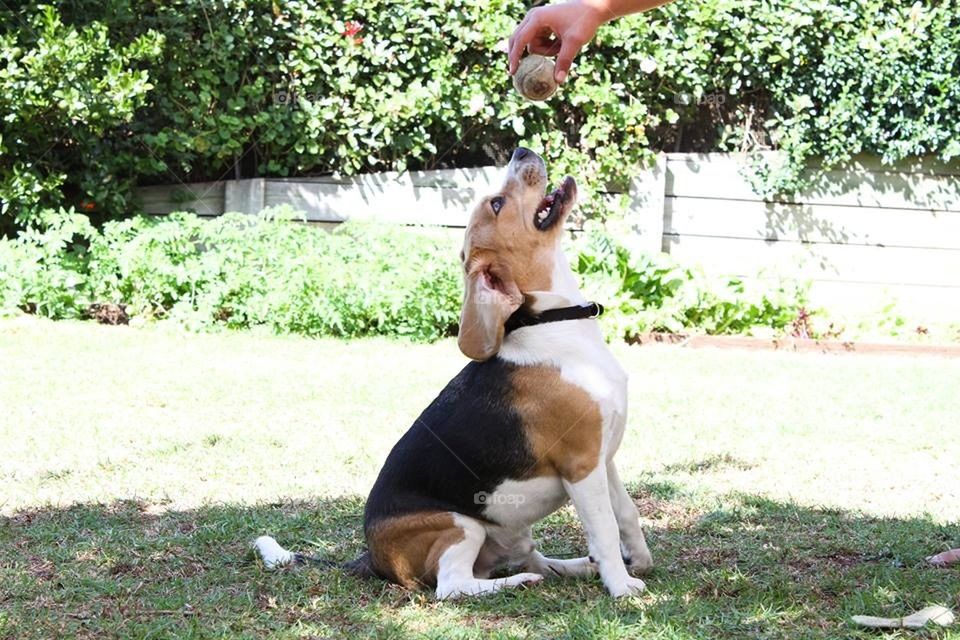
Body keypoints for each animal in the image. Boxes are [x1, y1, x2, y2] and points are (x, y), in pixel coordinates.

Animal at [251, 148, 652, 596]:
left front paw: (638, 560)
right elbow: (605, 530)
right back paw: (520, 581)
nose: (521, 152)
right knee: (454, 586)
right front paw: (621, 586)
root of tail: (372, 556)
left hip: (513, 531)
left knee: (530, 560)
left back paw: (572, 567)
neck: (549, 321)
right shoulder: (582, 465)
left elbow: (627, 514)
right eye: (497, 204)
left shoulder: (605, 458)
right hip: (461, 526)